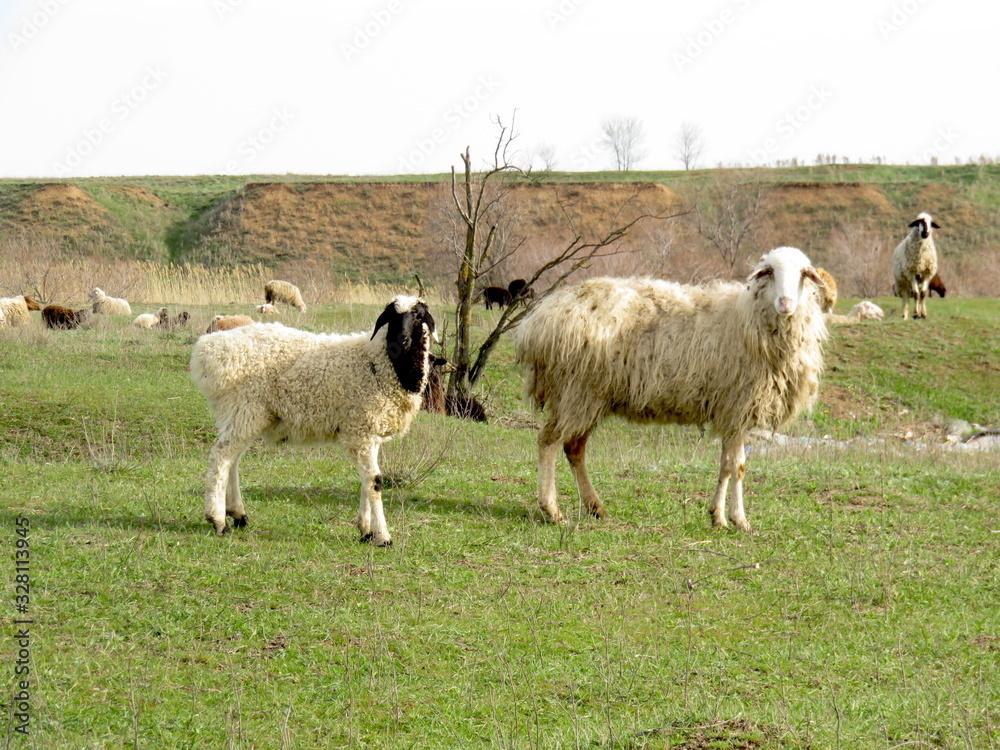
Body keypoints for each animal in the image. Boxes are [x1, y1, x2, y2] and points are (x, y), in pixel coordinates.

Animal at [190, 296, 438, 545]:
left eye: (418, 317)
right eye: (393, 316)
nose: (403, 339)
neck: (377, 361)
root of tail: (208, 349)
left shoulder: (370, 432)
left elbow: (366, 482)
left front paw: (366, 530)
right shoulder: (361, 431)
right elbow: (374, 482)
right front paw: (383, 537)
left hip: (242, 415)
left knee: (232, 458)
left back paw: (237, 514)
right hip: (243, 408)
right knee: (221, 457)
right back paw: (218, 520)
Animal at [514, 246, 828, 532]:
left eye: (803, 273)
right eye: (770, 272)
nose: (785, 303)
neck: (748, 317)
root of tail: (538, 320)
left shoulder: (733, 412)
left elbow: (730, 465)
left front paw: (720, 515)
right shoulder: (736, 407)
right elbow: (736, 466)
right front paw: (735, 519)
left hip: (588, 395)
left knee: (574, 448)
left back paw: (595, 507)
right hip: (576, 389)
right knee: (548, 442)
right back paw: (552, 510)